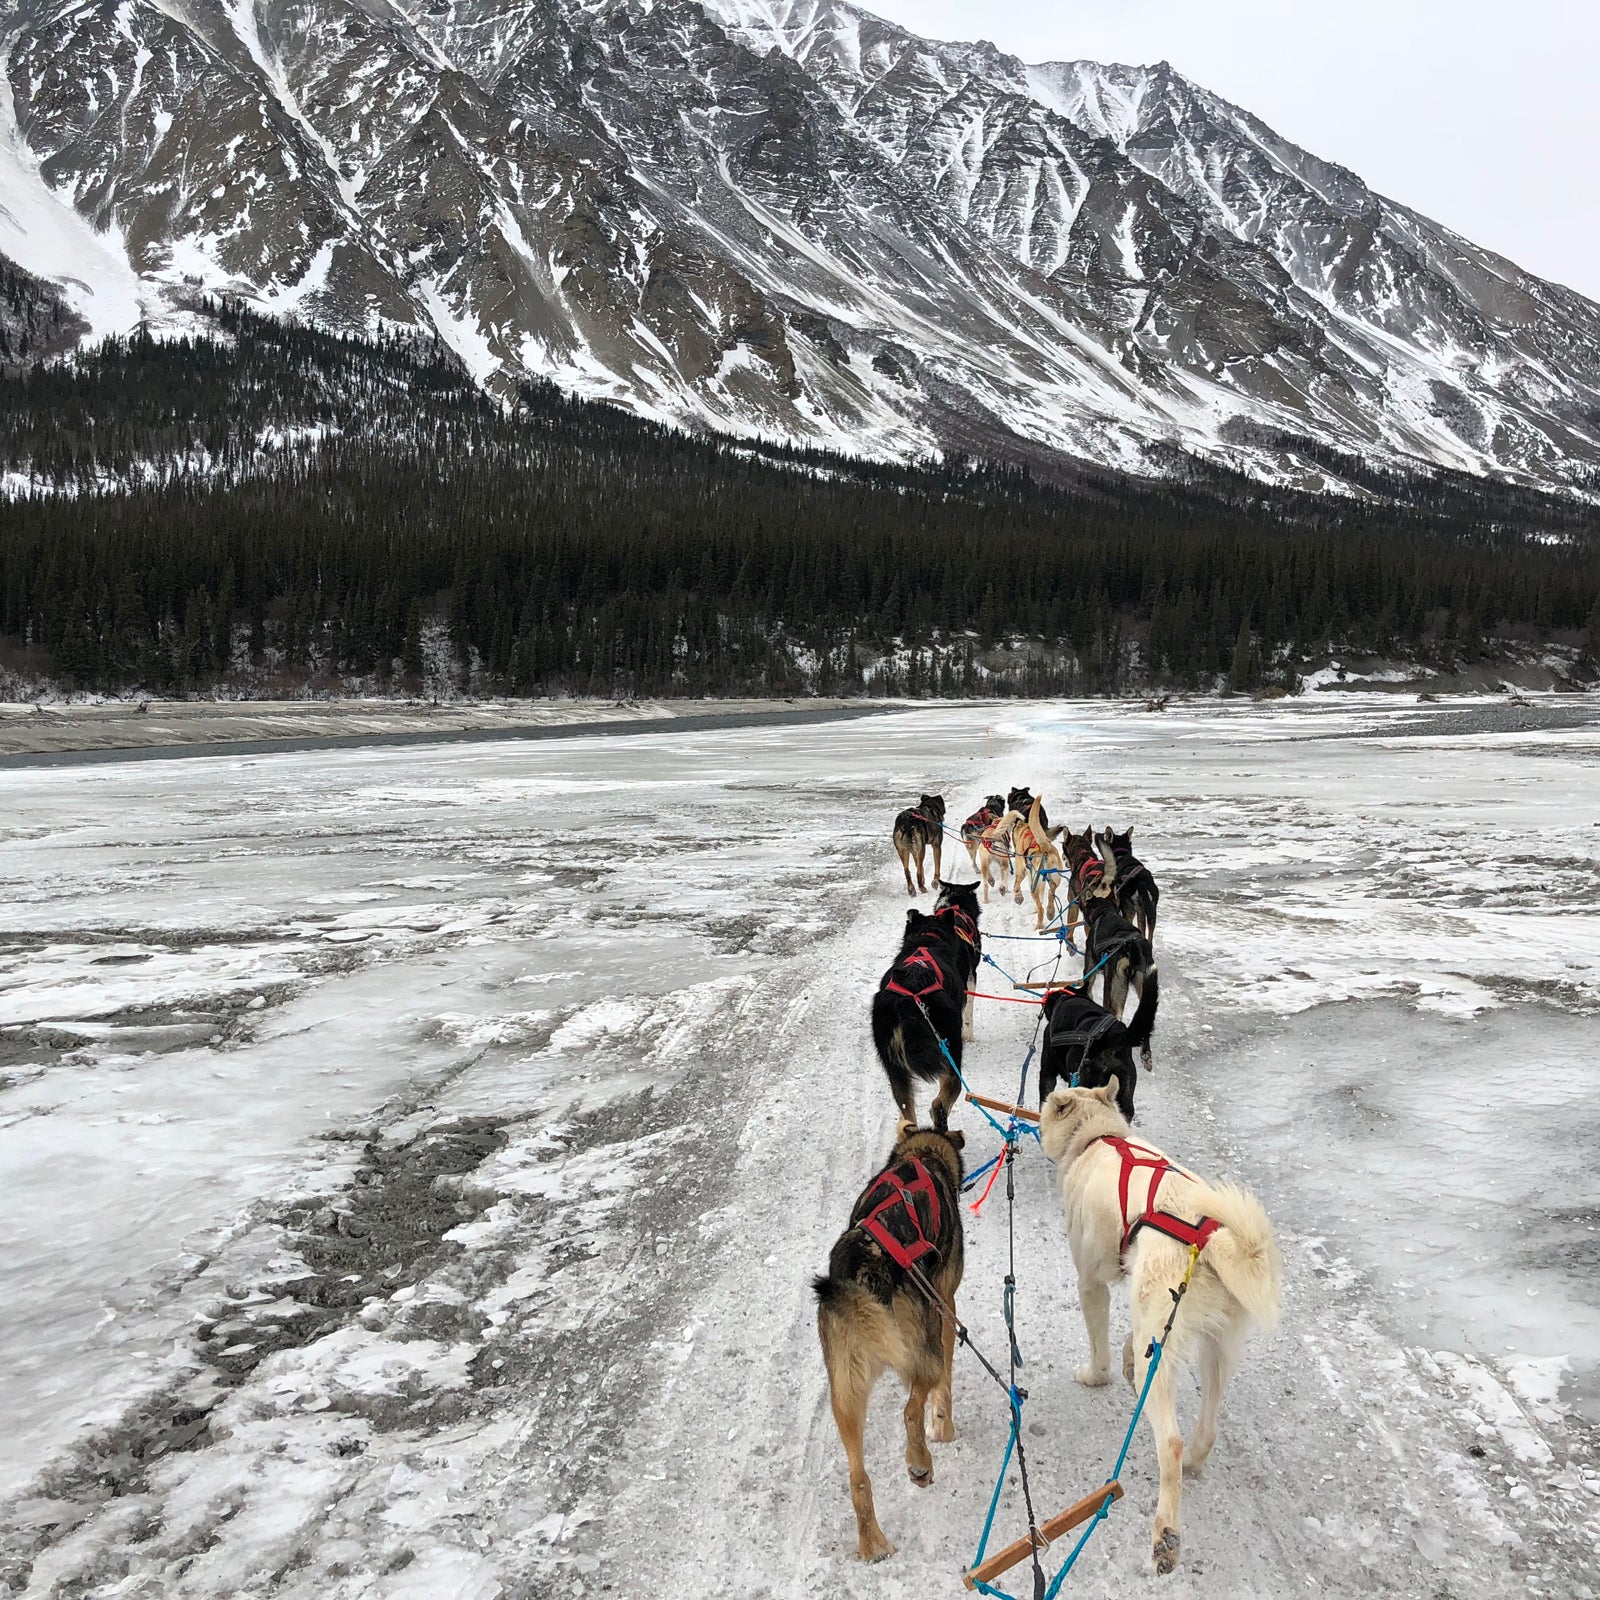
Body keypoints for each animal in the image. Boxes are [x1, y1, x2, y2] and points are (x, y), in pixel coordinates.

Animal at [812, 1126, 960, 1561]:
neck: (921, 1156)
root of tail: (866, 1269)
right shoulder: (945, 1308)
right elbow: (944, 1388)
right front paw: (944, 1427)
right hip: (923, 1352)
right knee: (911, 1411)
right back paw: (920, 1463)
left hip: (844, 1394)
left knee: (858, 1477)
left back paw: (872, 1544)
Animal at [870, 883, 979, 1132]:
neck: (927, 938)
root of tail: (912, 995)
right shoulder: (969, 982)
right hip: (950, 1048)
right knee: (943, 1098)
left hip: (895, 1068)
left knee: (907, 1114)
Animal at [1036, 1075, 1286, 1574]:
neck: (1097, 1138)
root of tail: (1210, 1240)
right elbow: (1128, 1342)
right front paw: (1127, 1364)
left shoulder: (1092, 1281)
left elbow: (1100, 1344)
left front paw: (1097, 1374)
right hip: (1212, 1347)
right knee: (1207, 1424)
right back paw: (1194, 1457)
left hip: (1164, 1347)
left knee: (1169, 1443)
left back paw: (1165, 1536)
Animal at [1081, 896, 1158, 1068]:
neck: (1105, 911)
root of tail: (1130, 949)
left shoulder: (1090, 966)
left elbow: (1088, 986)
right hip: (1144, 986)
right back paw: (1146, 1054)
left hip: (1112, 993)